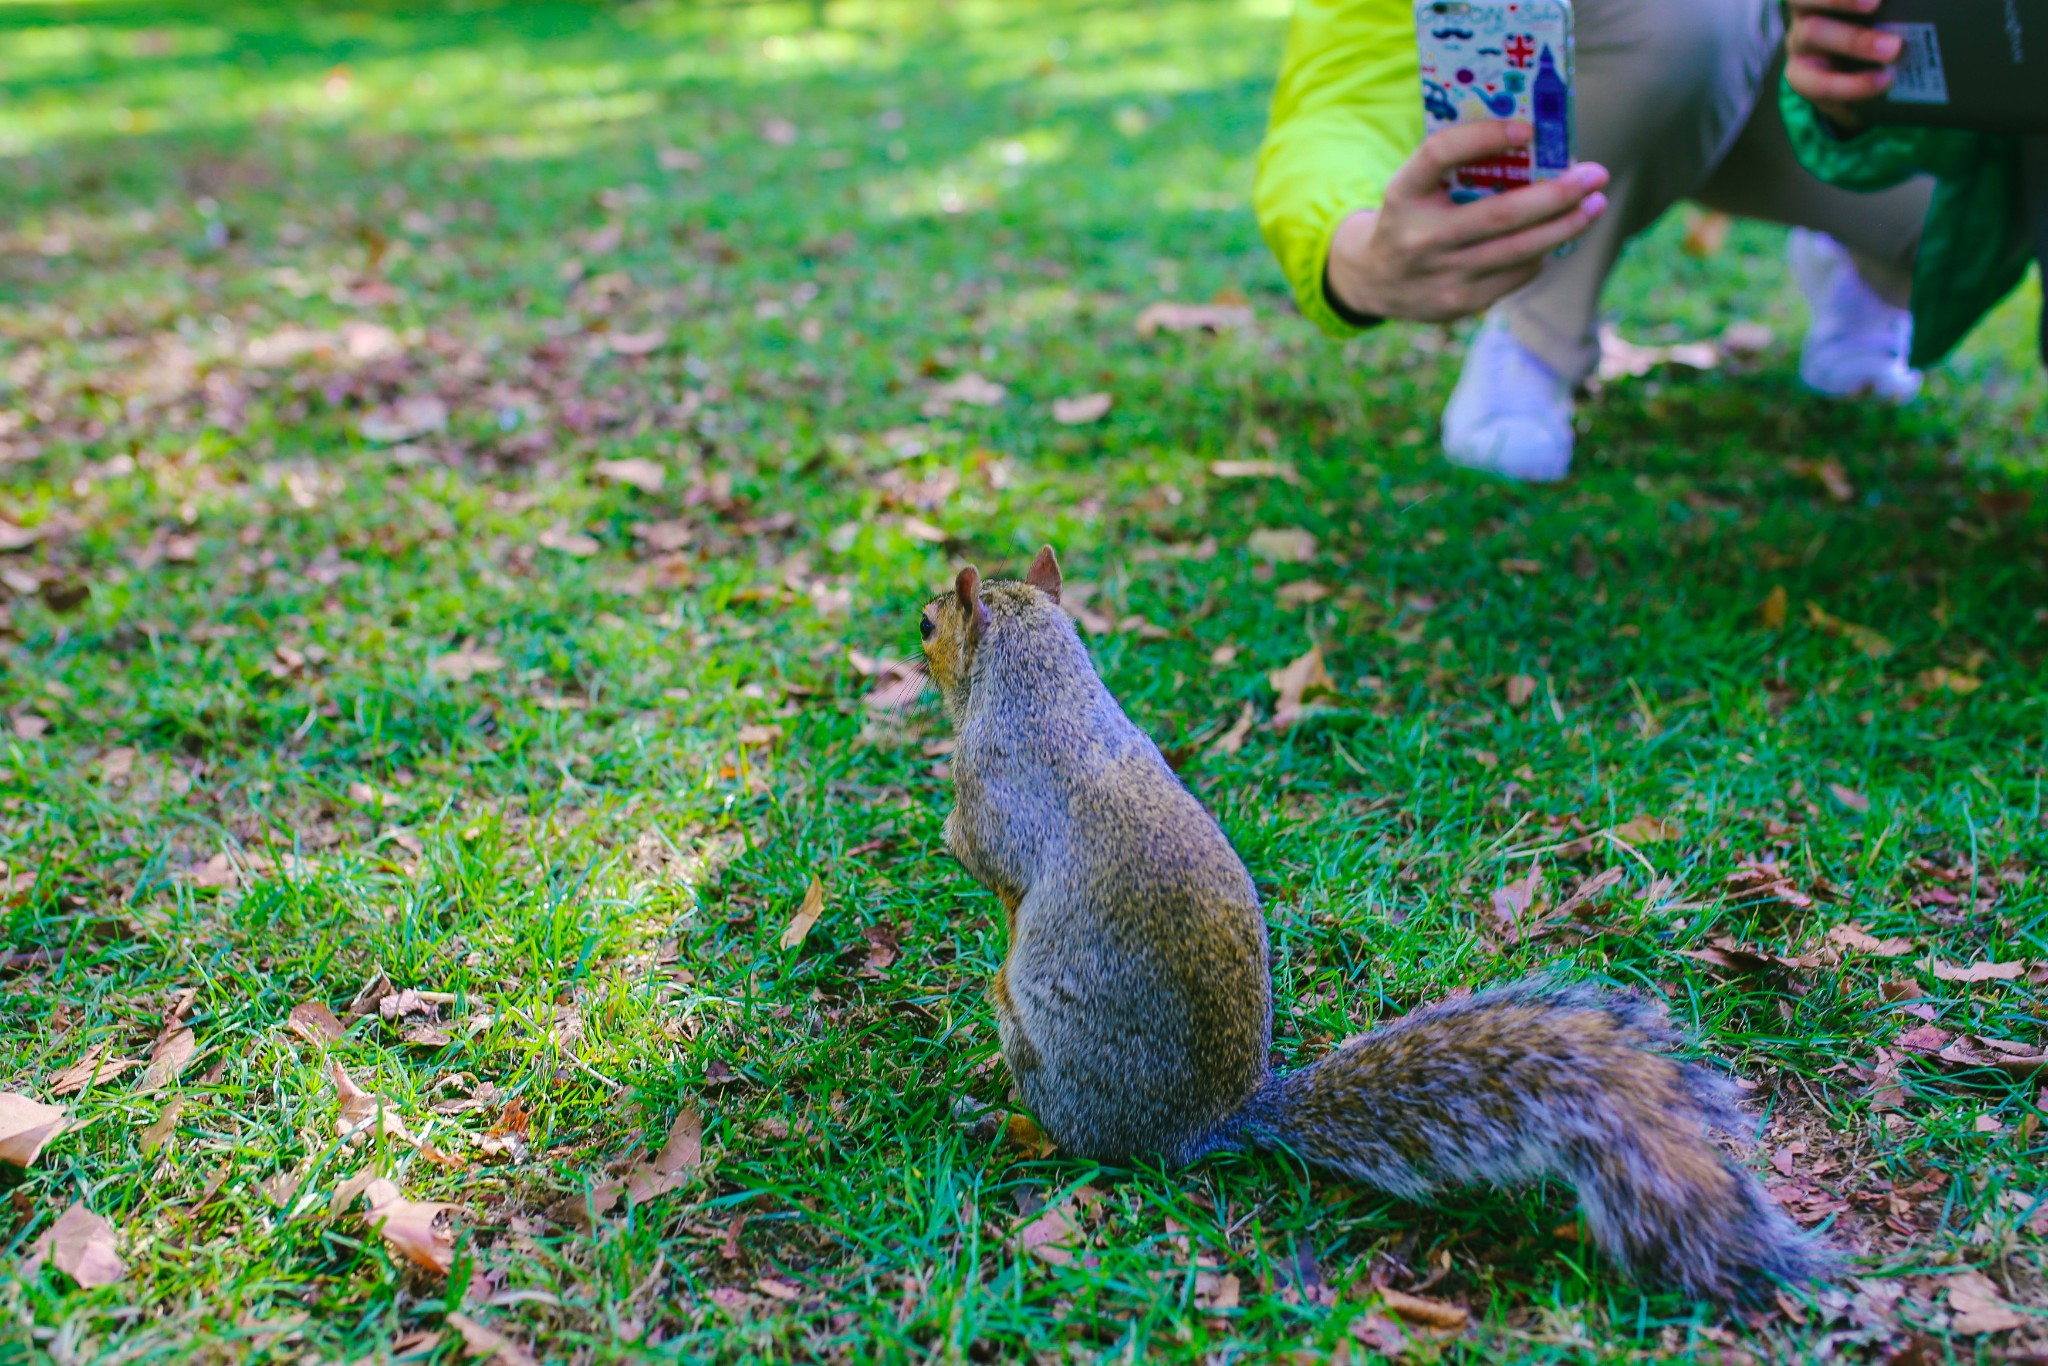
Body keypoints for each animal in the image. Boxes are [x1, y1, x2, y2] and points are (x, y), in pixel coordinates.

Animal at [921, 540, 1835, 1302]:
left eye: (933, 622)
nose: (911, 632)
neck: (1047, 686)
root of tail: (1202, 1128)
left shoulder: (995, 789)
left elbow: (982, 853)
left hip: (1035, 1040)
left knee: (1070, 1136)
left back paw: (997, 1117)